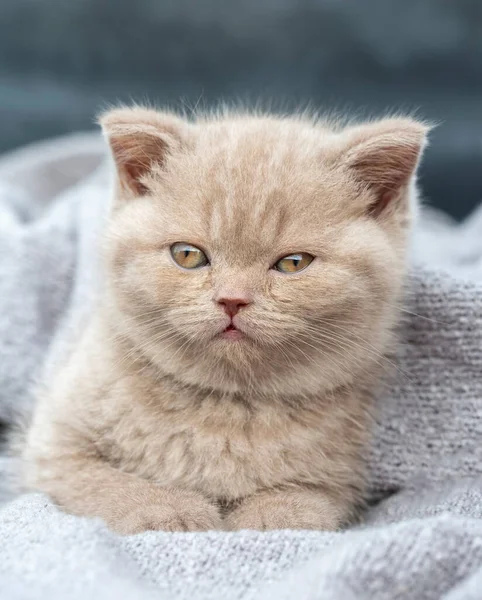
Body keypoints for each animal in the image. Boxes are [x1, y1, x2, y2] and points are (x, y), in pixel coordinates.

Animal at [20, 108, 428, 536]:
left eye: (293, 263)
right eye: (187, 255)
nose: (232, 299)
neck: (226, 405)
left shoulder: (342, 474)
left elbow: (309, 500)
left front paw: (273, 515)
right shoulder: (52, 447)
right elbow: (102, 483)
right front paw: (166, 510)